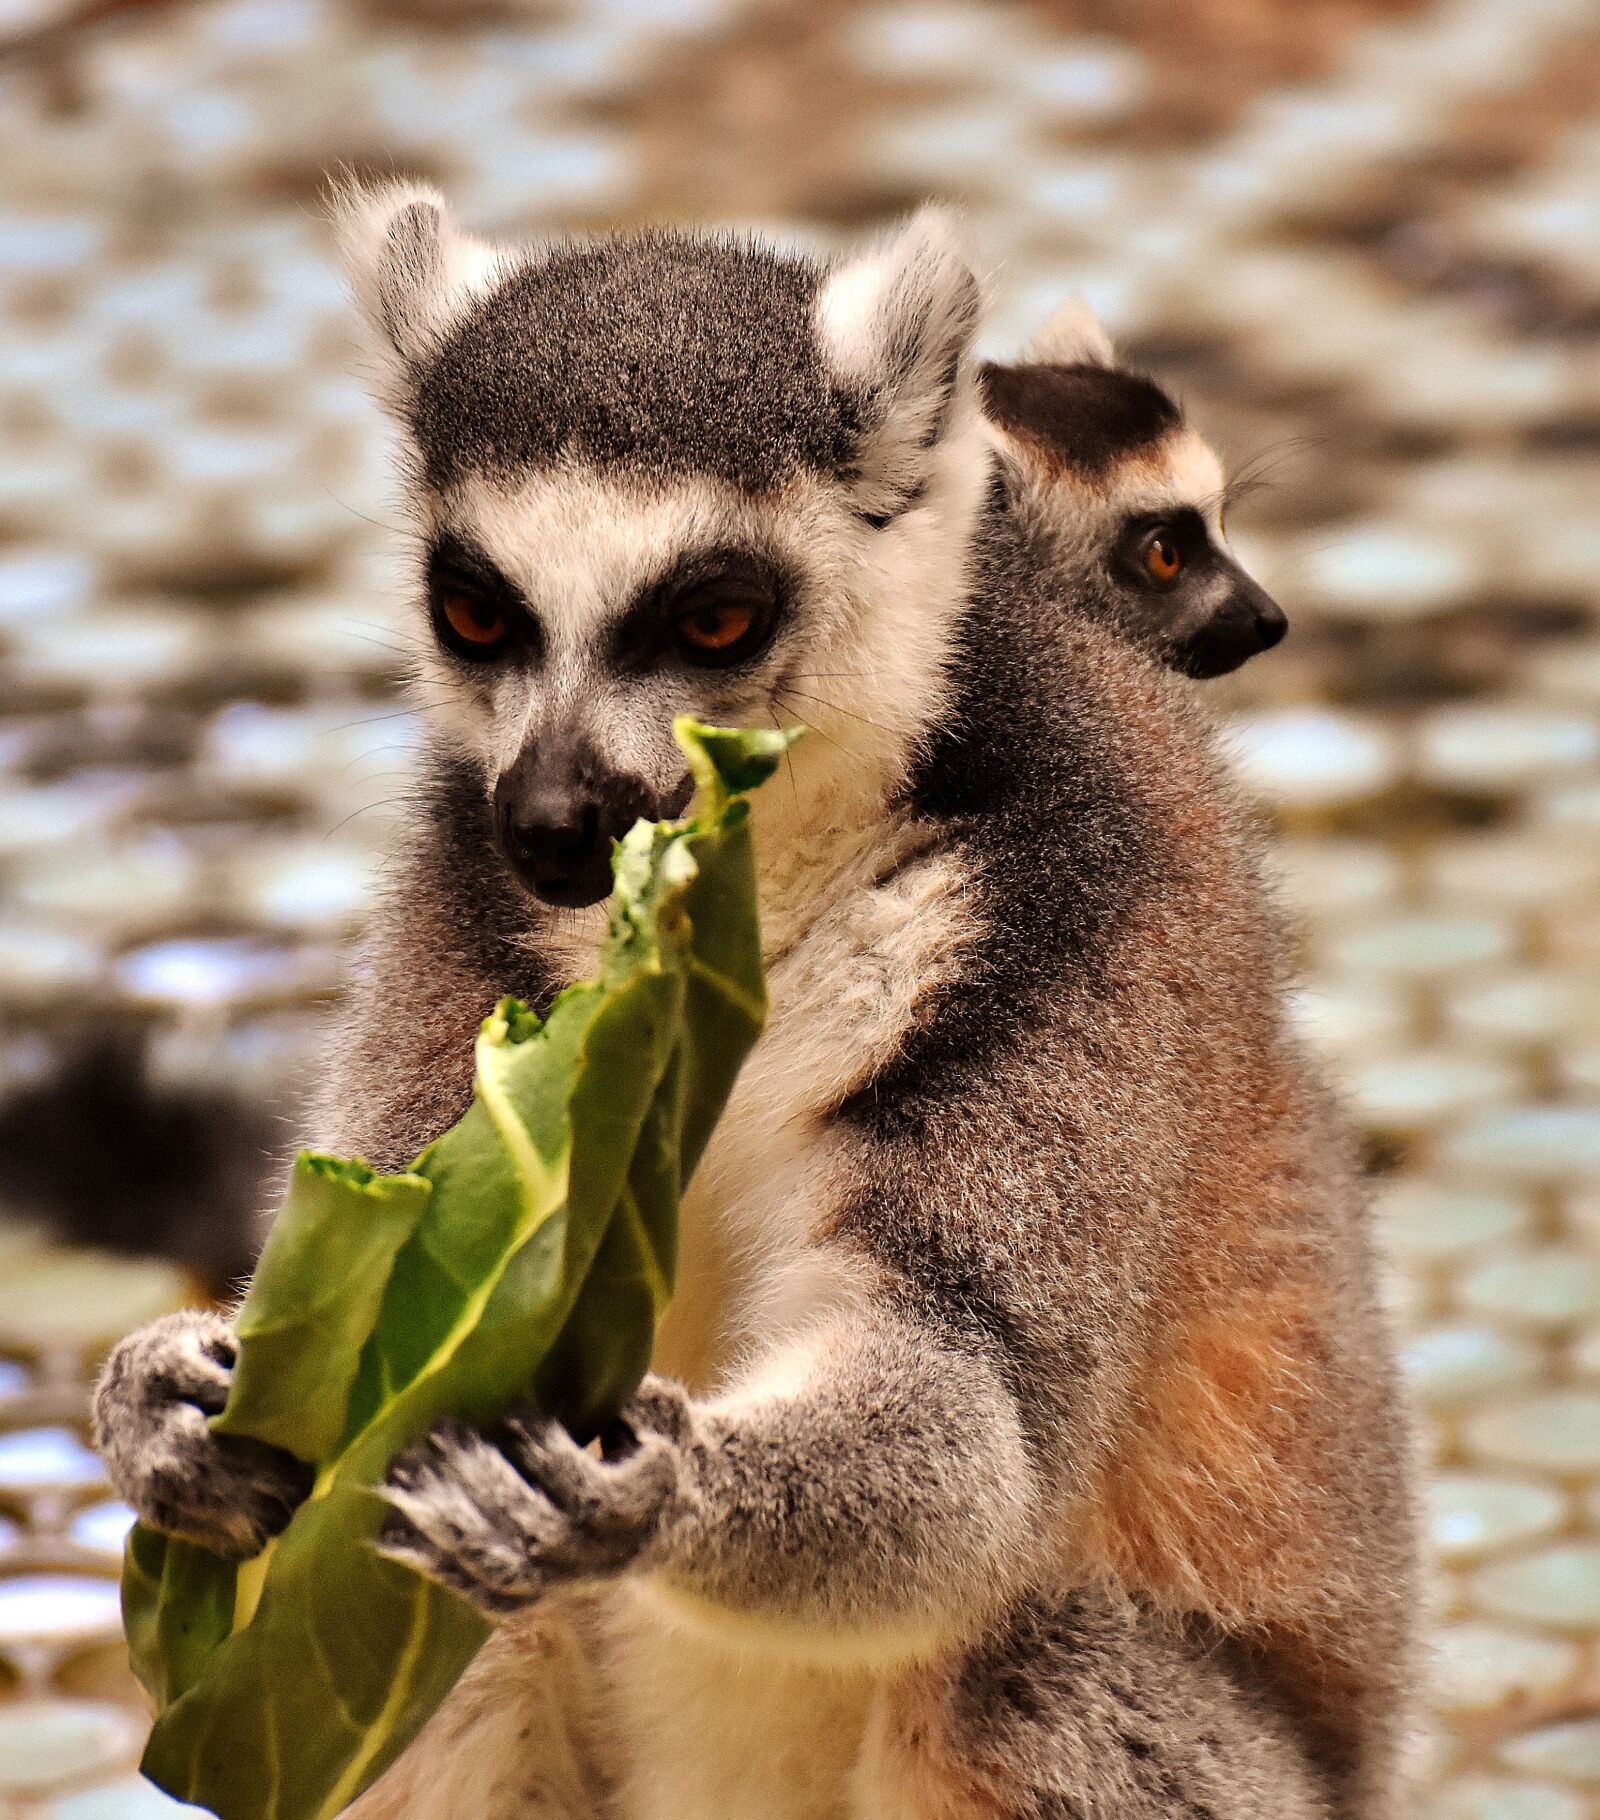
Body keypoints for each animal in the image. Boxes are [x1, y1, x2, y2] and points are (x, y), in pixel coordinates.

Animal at [95, 189, 1415, 1820]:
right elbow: (388, 1230)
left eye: (715, 619)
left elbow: (972, 1421)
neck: (756, 878)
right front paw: (167, 1409)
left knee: (1032, 1672)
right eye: (473, 612)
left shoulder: (1069, 908)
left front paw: (643, 1491)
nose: (553, 821)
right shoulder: (467, 899)